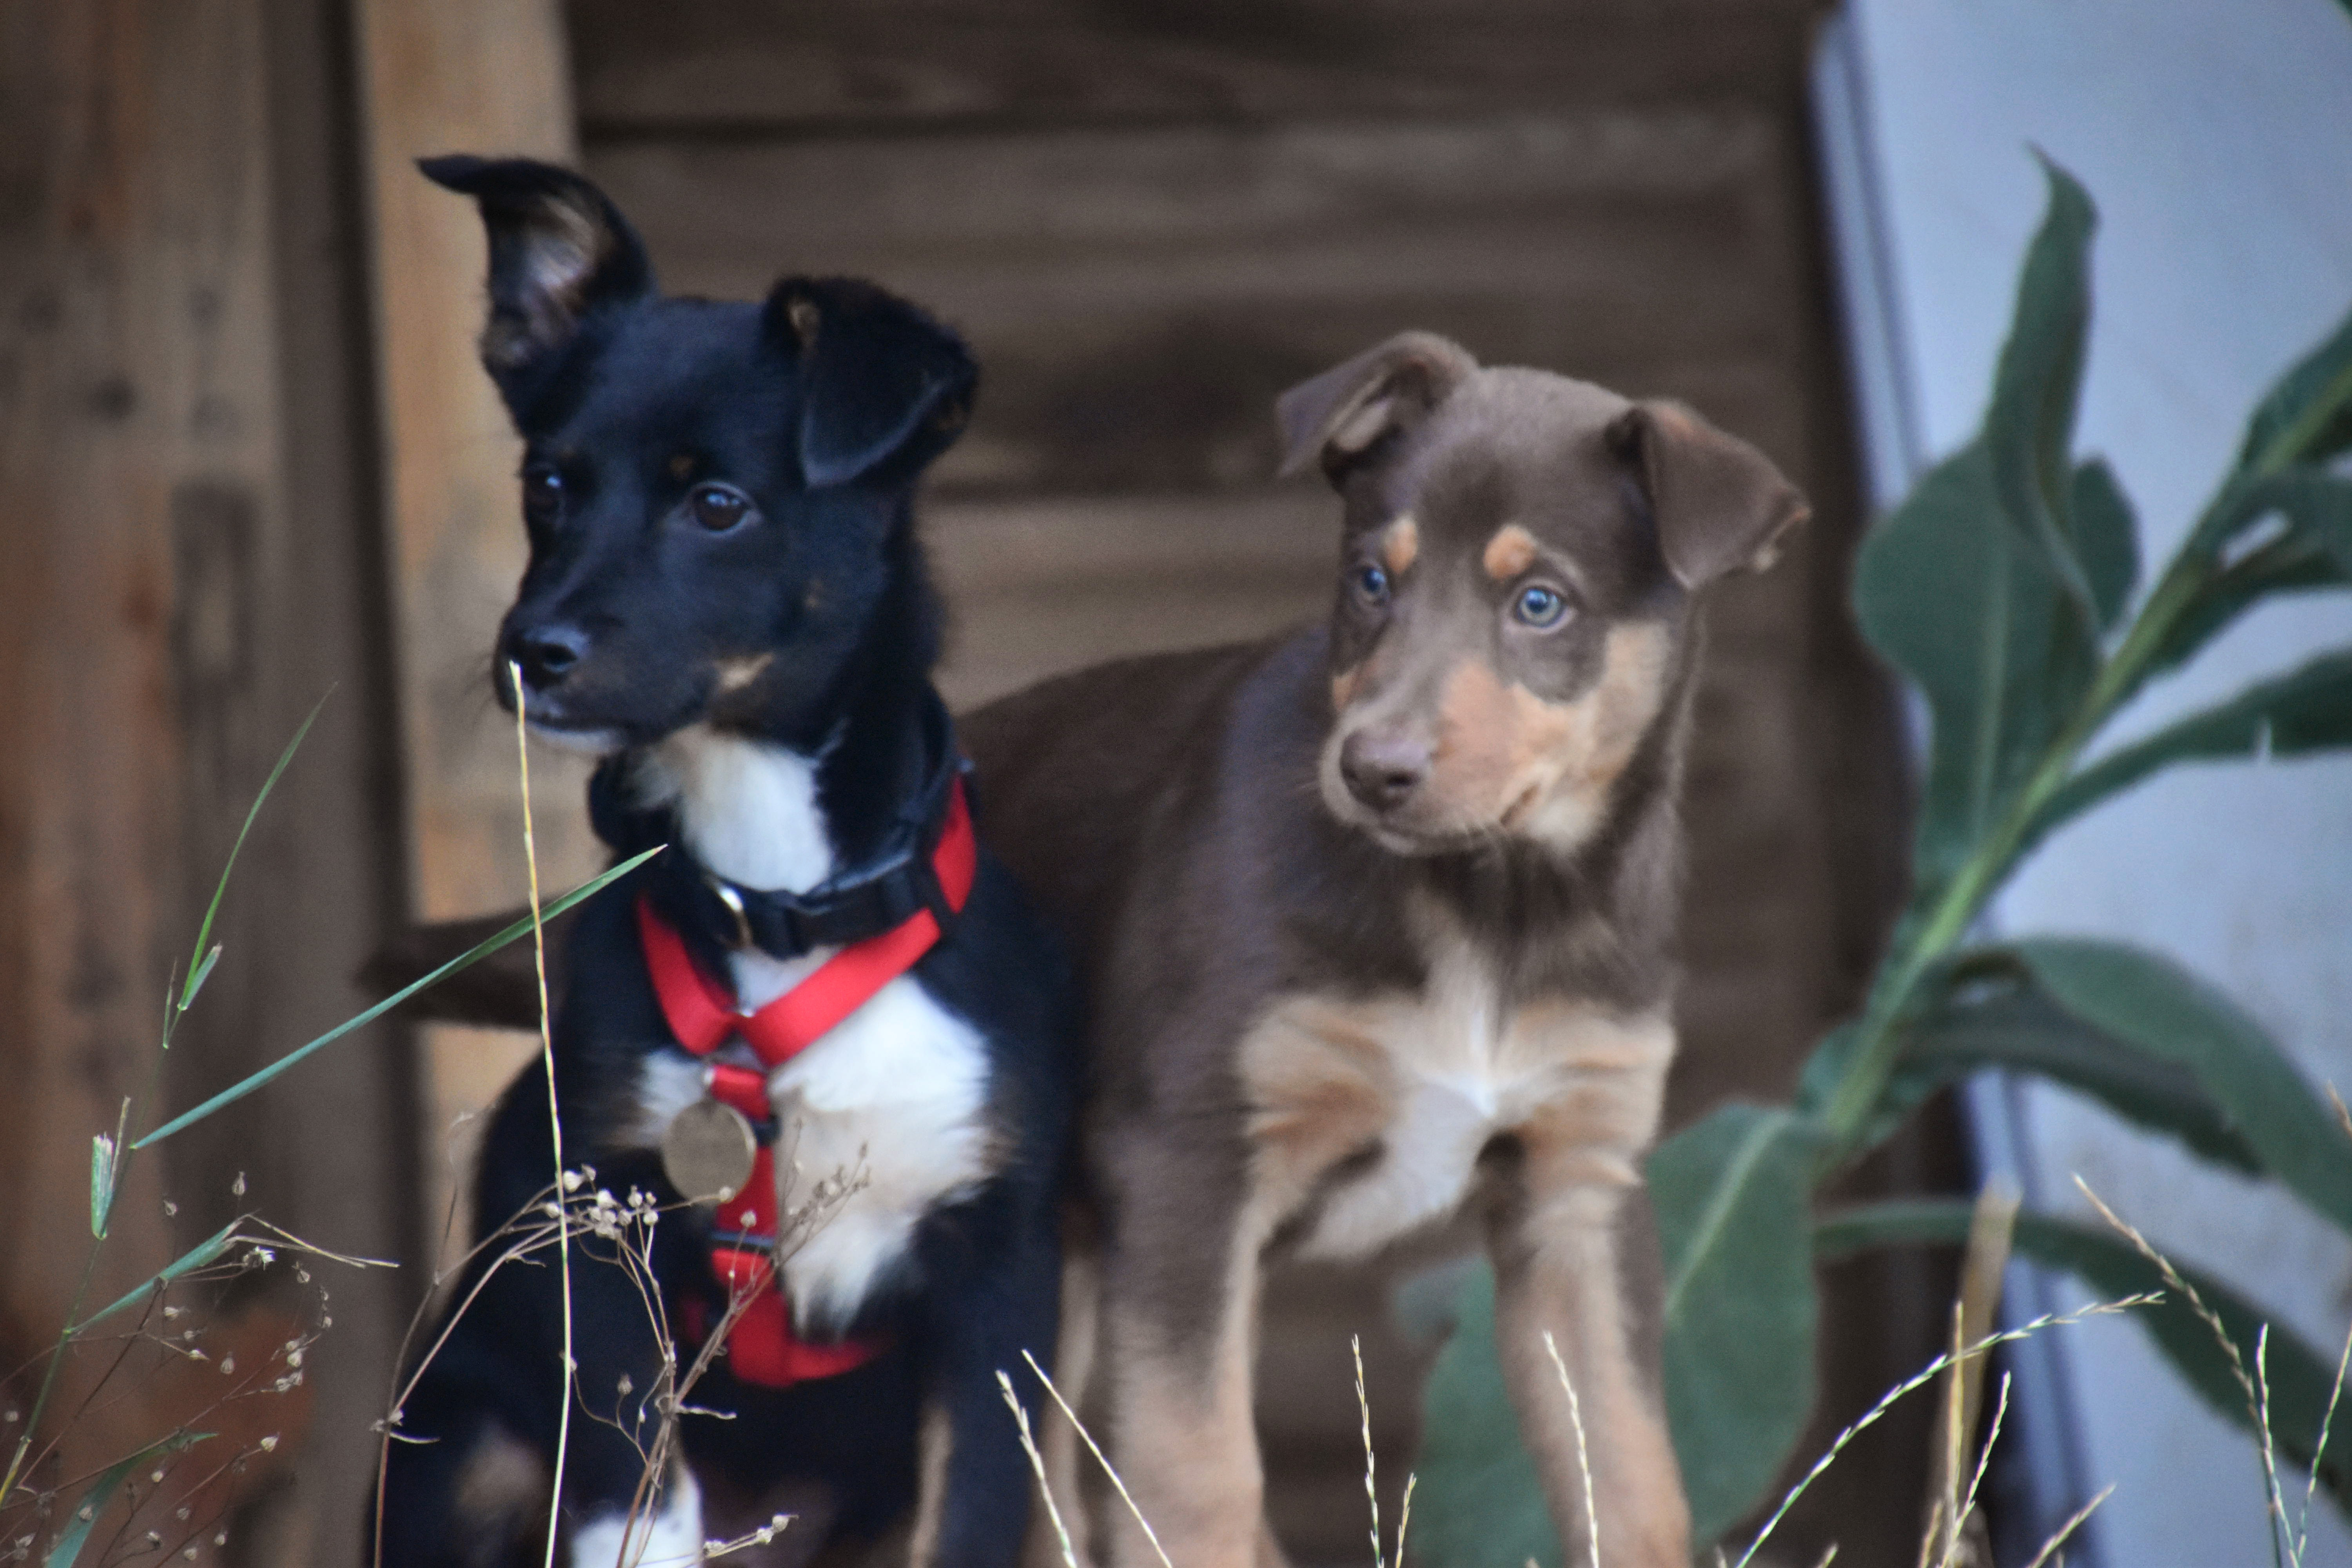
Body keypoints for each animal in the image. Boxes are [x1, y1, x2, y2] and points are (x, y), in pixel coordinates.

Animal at [386, 156, 1077, 1568]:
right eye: (549, 486)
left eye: (717, 506)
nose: (531, 652)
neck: (777, 905)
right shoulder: (600, 1236)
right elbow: (640, 1497)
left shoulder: (996, 1279)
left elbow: (974, 1515)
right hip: (462, 1442)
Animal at [955, 334, 1797, 1568]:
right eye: (1370, 582)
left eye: (1540, 604)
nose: (1371, 771)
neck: (1490, 905)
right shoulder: (1183, 1163)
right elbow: (1197, 1477)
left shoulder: (1577, 1188)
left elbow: (1633, 1479)